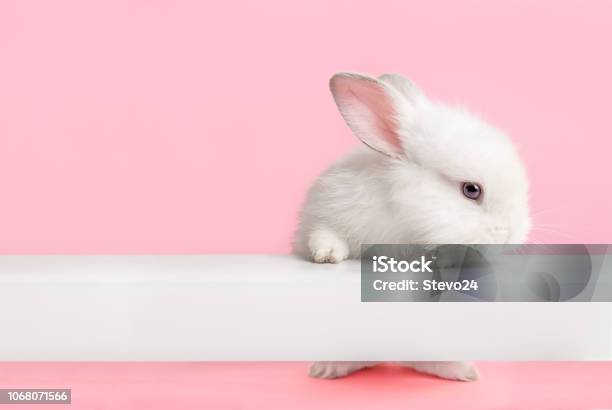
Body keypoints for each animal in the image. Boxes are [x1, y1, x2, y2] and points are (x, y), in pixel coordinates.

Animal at [294, 71, 528, 382]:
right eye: (471, 190)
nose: (511, 234)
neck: (406, 221)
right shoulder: (325, 213)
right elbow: (324, 235)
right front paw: (328, 256)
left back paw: (463, 372)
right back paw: (326, 369)